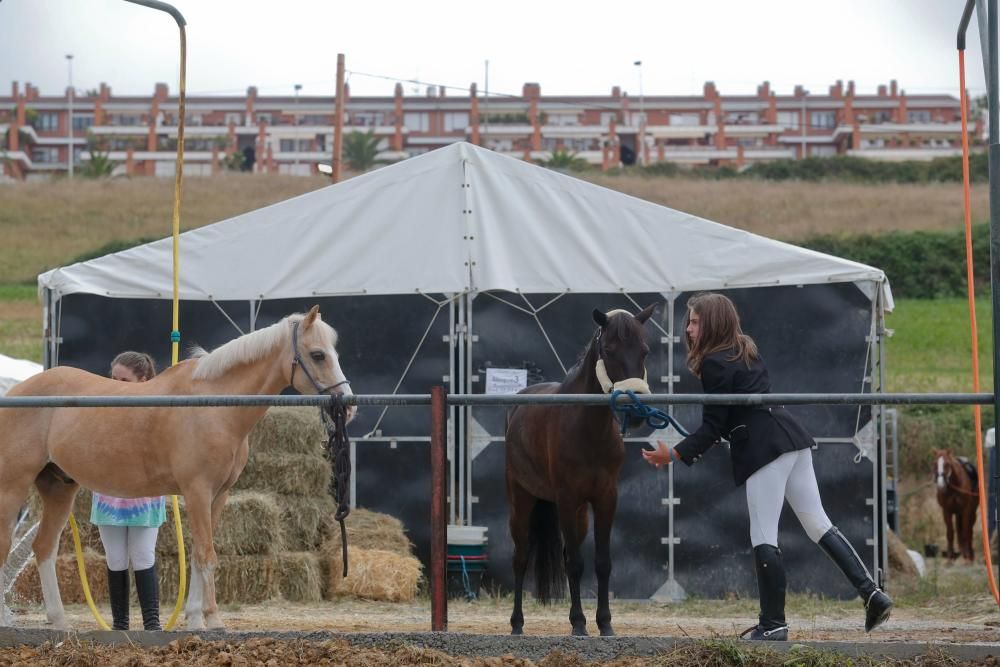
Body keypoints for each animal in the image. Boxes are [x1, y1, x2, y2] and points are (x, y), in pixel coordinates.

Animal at [0, 308, 354, 632]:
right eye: (318, 354)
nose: (347, 405)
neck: (213, 405)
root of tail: (14, 394)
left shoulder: (218, 496)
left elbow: (198, 554)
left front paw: (195, 617)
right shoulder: (197, 491)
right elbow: (207, 555)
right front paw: (213, 620)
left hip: (59, 487)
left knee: (43, 548)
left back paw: (60, 622)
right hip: (13, 487)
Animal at [508, 304, 656, 636]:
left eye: (644, 351)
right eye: (610, 349)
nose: (635, 412)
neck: (588, 428)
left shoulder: (605, 499)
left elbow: (601, 562)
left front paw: (605, 624)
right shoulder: (566, 498)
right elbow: (575, 564)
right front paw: (578, 624)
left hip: (578, 515)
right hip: (522, 499)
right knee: (521, 557)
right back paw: (517, 624)